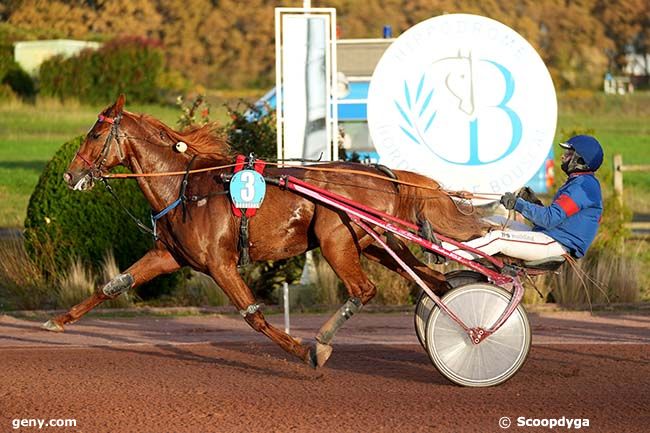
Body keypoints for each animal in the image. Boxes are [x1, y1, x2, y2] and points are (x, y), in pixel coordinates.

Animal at [41, 93, 486, 364]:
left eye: (96, 133)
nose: (69, 175)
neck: (186, 186)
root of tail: (385, 173)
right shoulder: (169, 256)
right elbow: (112, 285)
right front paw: (57, 322)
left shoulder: (220, 264)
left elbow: (252, 315)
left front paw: (303, 350)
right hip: (373, 242)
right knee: (435, 281)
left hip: (336, 239)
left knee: (364, 289)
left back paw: (325, 340)